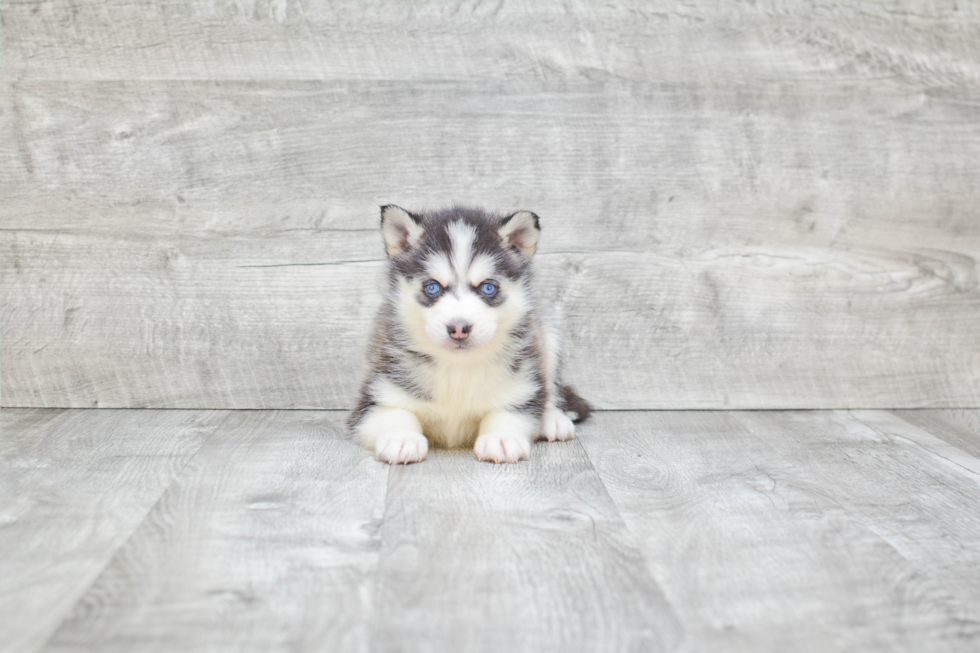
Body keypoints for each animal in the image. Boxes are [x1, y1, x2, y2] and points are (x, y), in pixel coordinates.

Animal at [350, 204, 588, 464]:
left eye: (488, 287)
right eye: (432, 287)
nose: (458, 328)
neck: (457, 367)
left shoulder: (522, 382)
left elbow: (511, 409)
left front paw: (501, 438)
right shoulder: (375, 394)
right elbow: (394, 413)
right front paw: (401, 438)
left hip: (548, 336)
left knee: (551, 390)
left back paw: (552, 420)